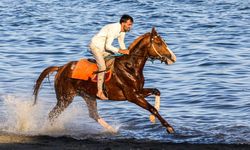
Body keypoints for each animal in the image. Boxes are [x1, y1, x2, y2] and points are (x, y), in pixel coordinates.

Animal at [33, 27, 176, 134]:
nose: (173, 57)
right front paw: (169, 127)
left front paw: (152, 119)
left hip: (88, 96)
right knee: (52, 114)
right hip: (65, 98)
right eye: (159, 43)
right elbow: (152, 108)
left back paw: (112, 130)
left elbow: (157, 92)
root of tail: (61, 68)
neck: (130, 66)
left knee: (93, 114)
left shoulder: (139, 91)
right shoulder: (132, 96)